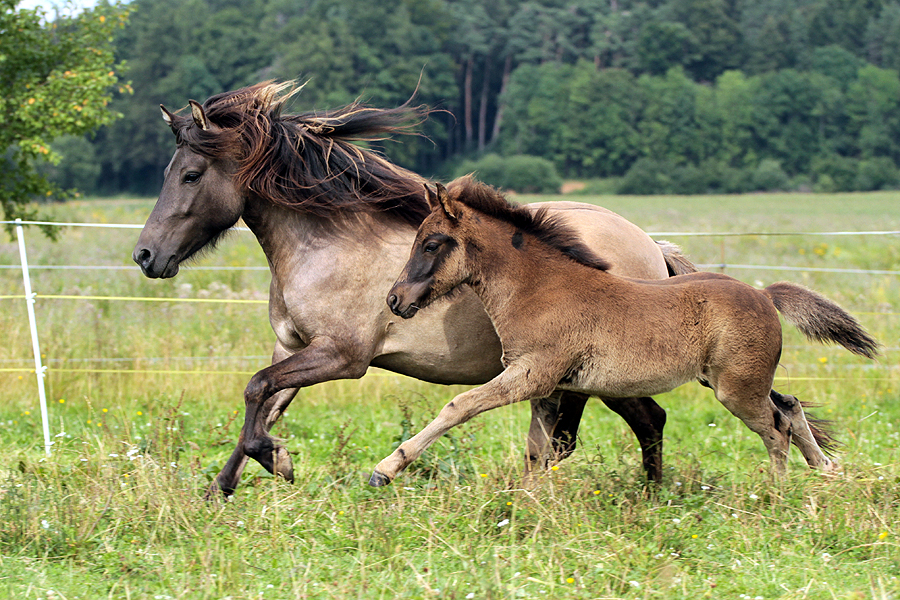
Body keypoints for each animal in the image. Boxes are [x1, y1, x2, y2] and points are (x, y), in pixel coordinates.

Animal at [134, 83, 692, 496]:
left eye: (190, 175)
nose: (145, 255)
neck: (327, 245)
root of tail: (652, 246)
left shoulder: (342, 357)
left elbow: (256, 392)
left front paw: (281, 461)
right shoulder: (292, 347)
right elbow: (261, 402)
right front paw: (222, 489)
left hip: (591, 372)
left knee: (612, 428)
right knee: (632, 423)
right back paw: (648, 496)